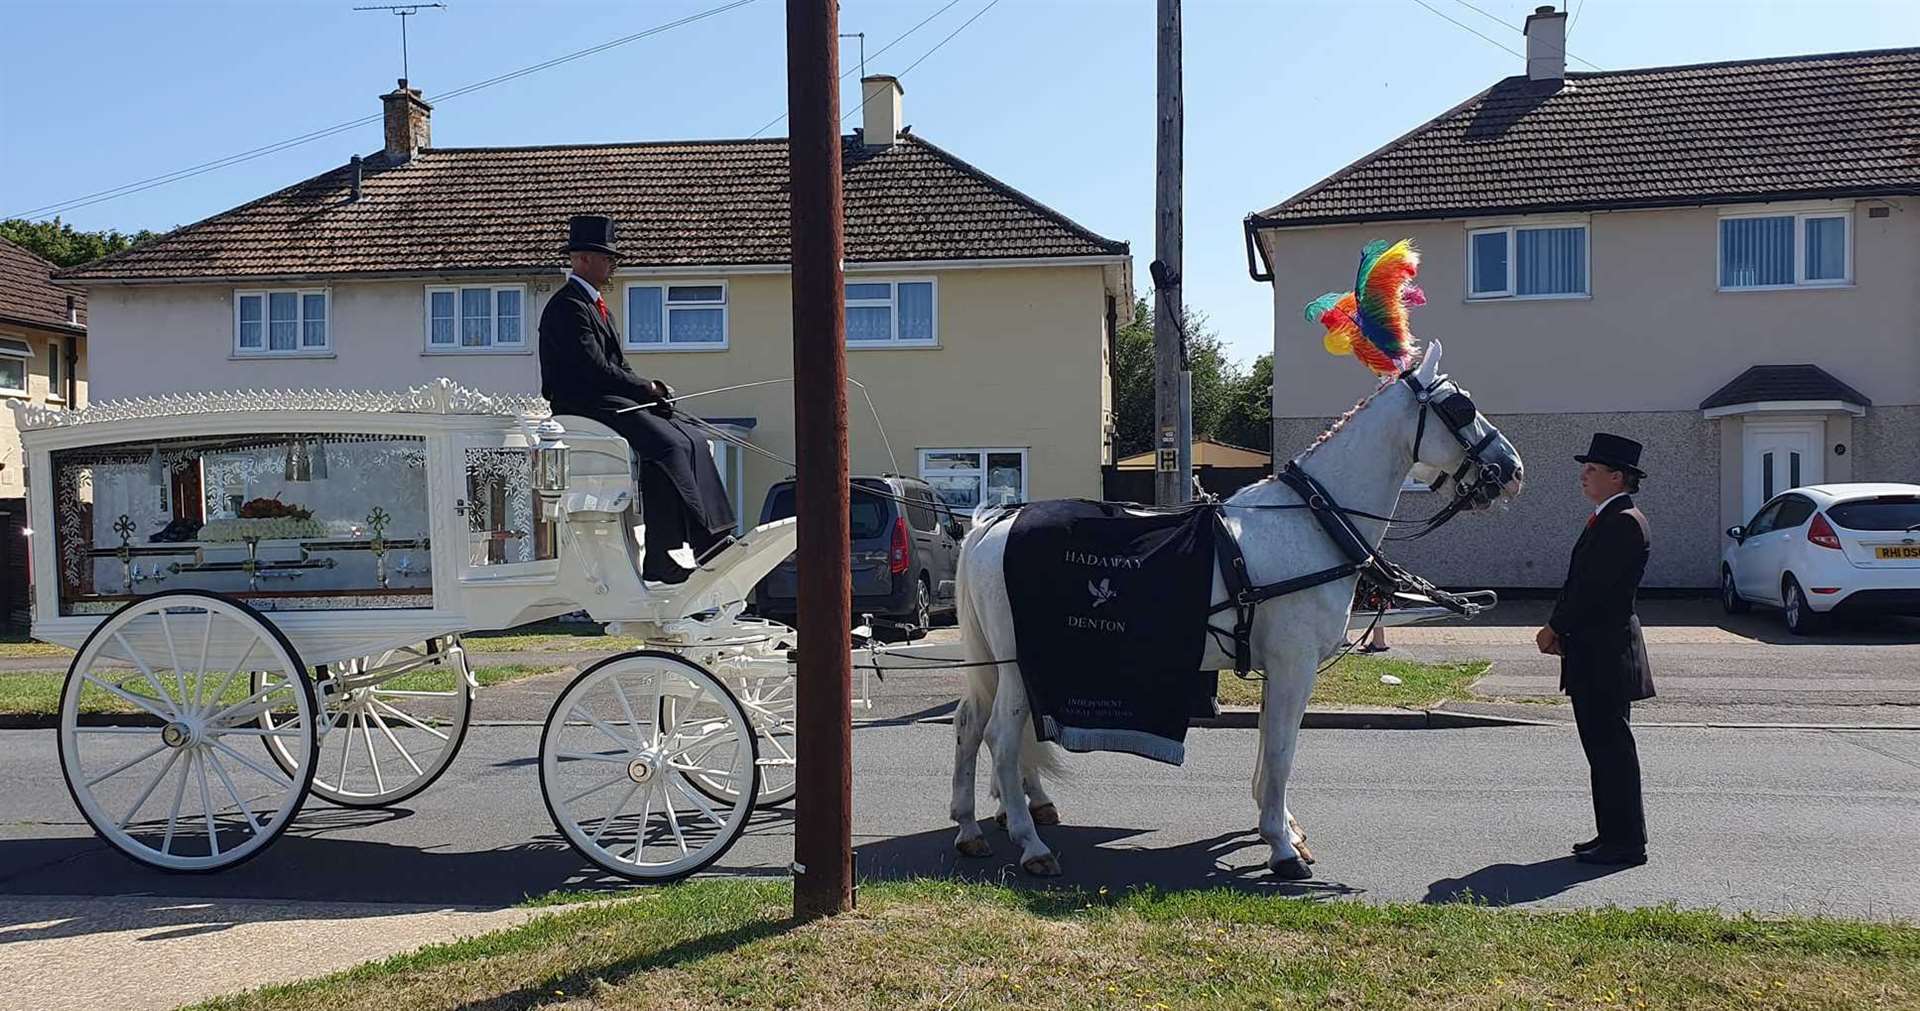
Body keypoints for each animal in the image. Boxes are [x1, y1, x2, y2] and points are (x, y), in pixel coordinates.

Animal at [952, 339, 1520, 878]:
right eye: (1461, 407)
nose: (1511, 469)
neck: (1311, 523)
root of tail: (994, 525)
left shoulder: (1277, 668)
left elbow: (1269, 745)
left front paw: (1284, 827)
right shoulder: (1294, 666)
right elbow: (1283, 751)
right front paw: (1281, 847)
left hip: (1003, 666)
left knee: (970, 724)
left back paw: (969, 828)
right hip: (1021, 666)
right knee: (1001, 737)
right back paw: (1030, 844)